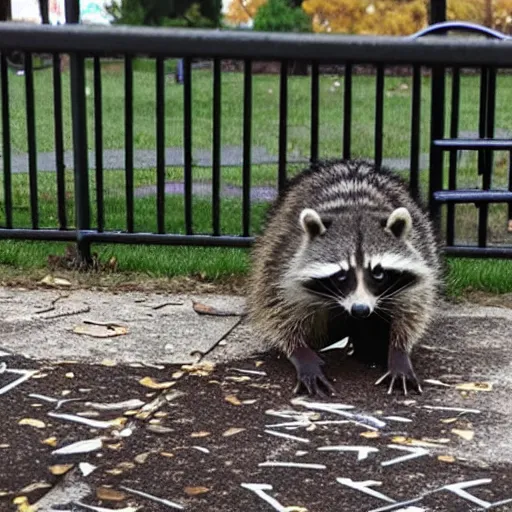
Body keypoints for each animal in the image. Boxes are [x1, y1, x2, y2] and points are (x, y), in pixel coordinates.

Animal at [246, 159, 442, 396]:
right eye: (341, 276)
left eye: (378, 273)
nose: (360, 310)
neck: (356, 209)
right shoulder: (282, 256)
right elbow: (277, 307)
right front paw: (299, 351)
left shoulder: (420, 253)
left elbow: (413, 307)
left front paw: (399, 351)